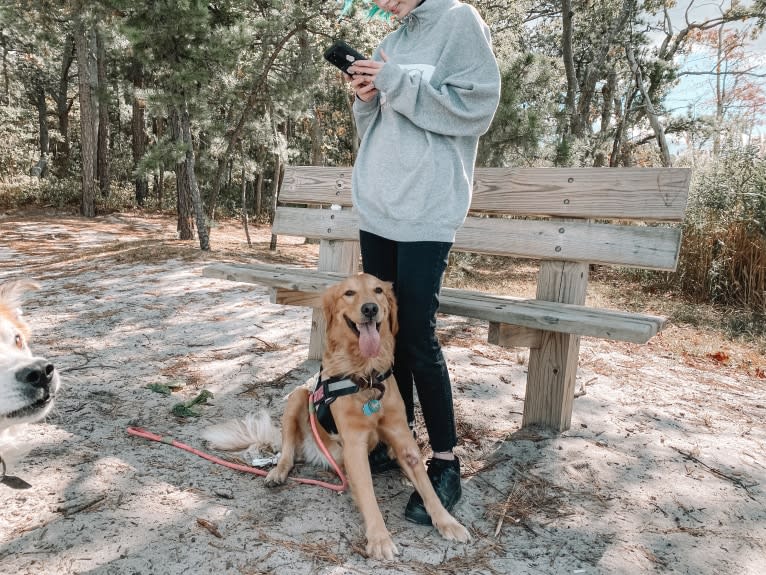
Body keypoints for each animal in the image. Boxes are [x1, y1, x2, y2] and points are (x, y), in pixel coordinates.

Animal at [202, 274, 468, 560]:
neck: (366, 376)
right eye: (349, 293)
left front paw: (448, 522)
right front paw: (380, 539)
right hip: (298, 397)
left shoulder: (403, 440)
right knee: (287, 452)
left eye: (378, 290)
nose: (370, 308)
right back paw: (277, 472)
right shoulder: (354, 446)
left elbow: (428, 489)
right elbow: (369, 496)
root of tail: (308, 450)